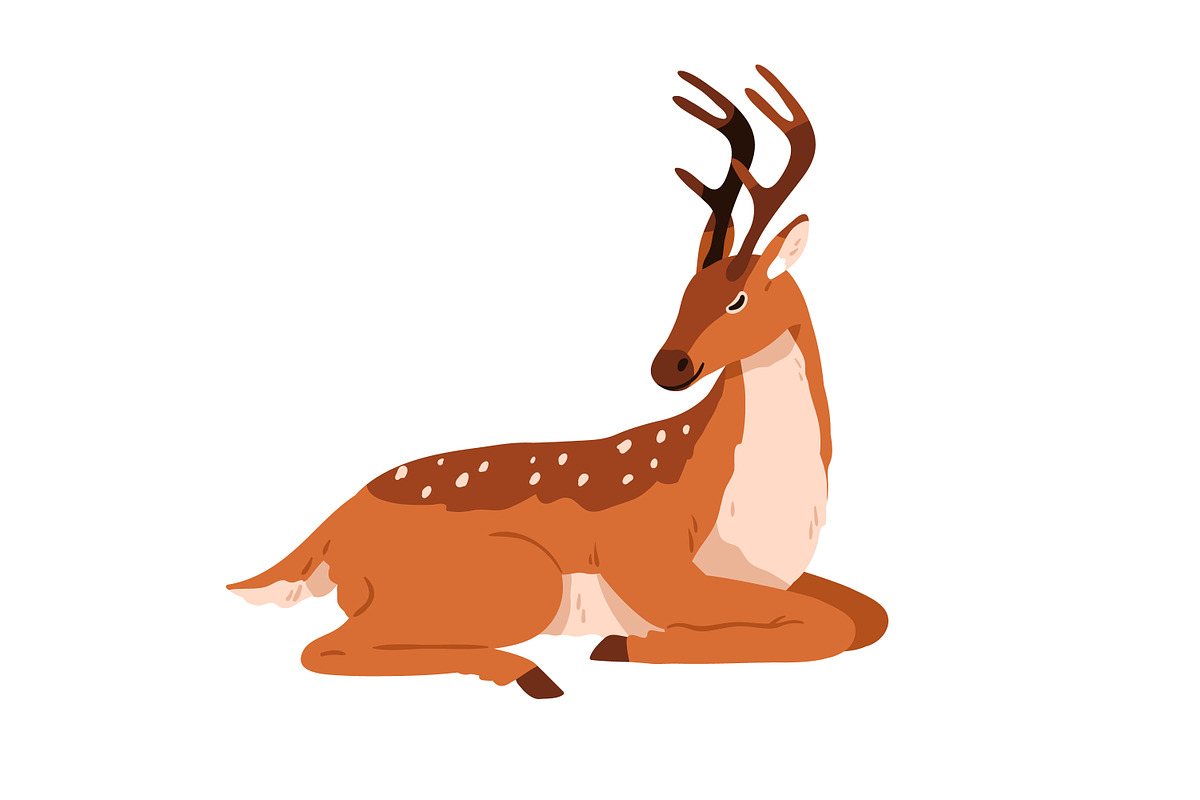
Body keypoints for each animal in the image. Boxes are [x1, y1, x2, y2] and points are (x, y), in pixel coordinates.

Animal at [227, 66, 887, 699]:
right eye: (685, 293)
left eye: (736, 299)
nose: (668, 365)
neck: (759, 508)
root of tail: (328, 532)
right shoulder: (649, 563)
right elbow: (826, 623)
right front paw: (623, 645)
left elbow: (865, 614)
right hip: (520, 578)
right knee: (325, 648)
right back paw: (528, 673)